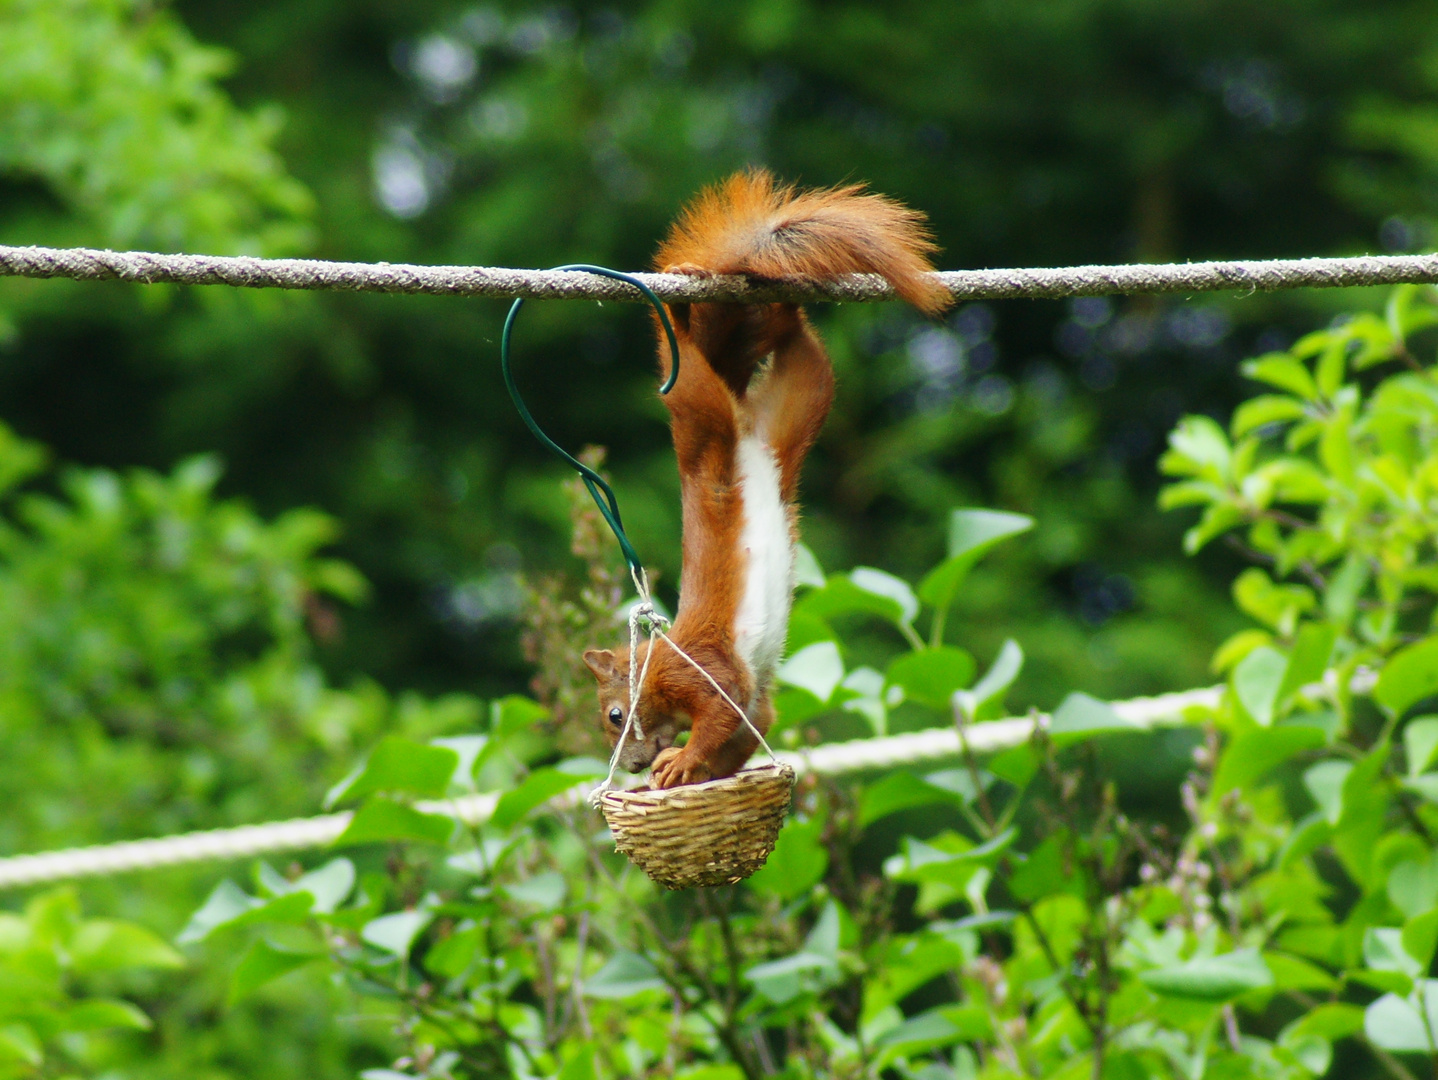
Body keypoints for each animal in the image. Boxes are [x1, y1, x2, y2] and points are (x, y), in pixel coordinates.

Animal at [578, 173, 949, 788]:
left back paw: (674, 308)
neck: (659, 660)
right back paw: (783, 307)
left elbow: (717, 712)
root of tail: (747, 426)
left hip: (700, 415)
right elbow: (747, 733)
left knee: (688, 372)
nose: (629, 765)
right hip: (800, 404)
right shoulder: (757, 706)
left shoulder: (704, 676)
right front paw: (688, 771)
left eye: (614, 714)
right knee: (798, 340)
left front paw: (680, 761)